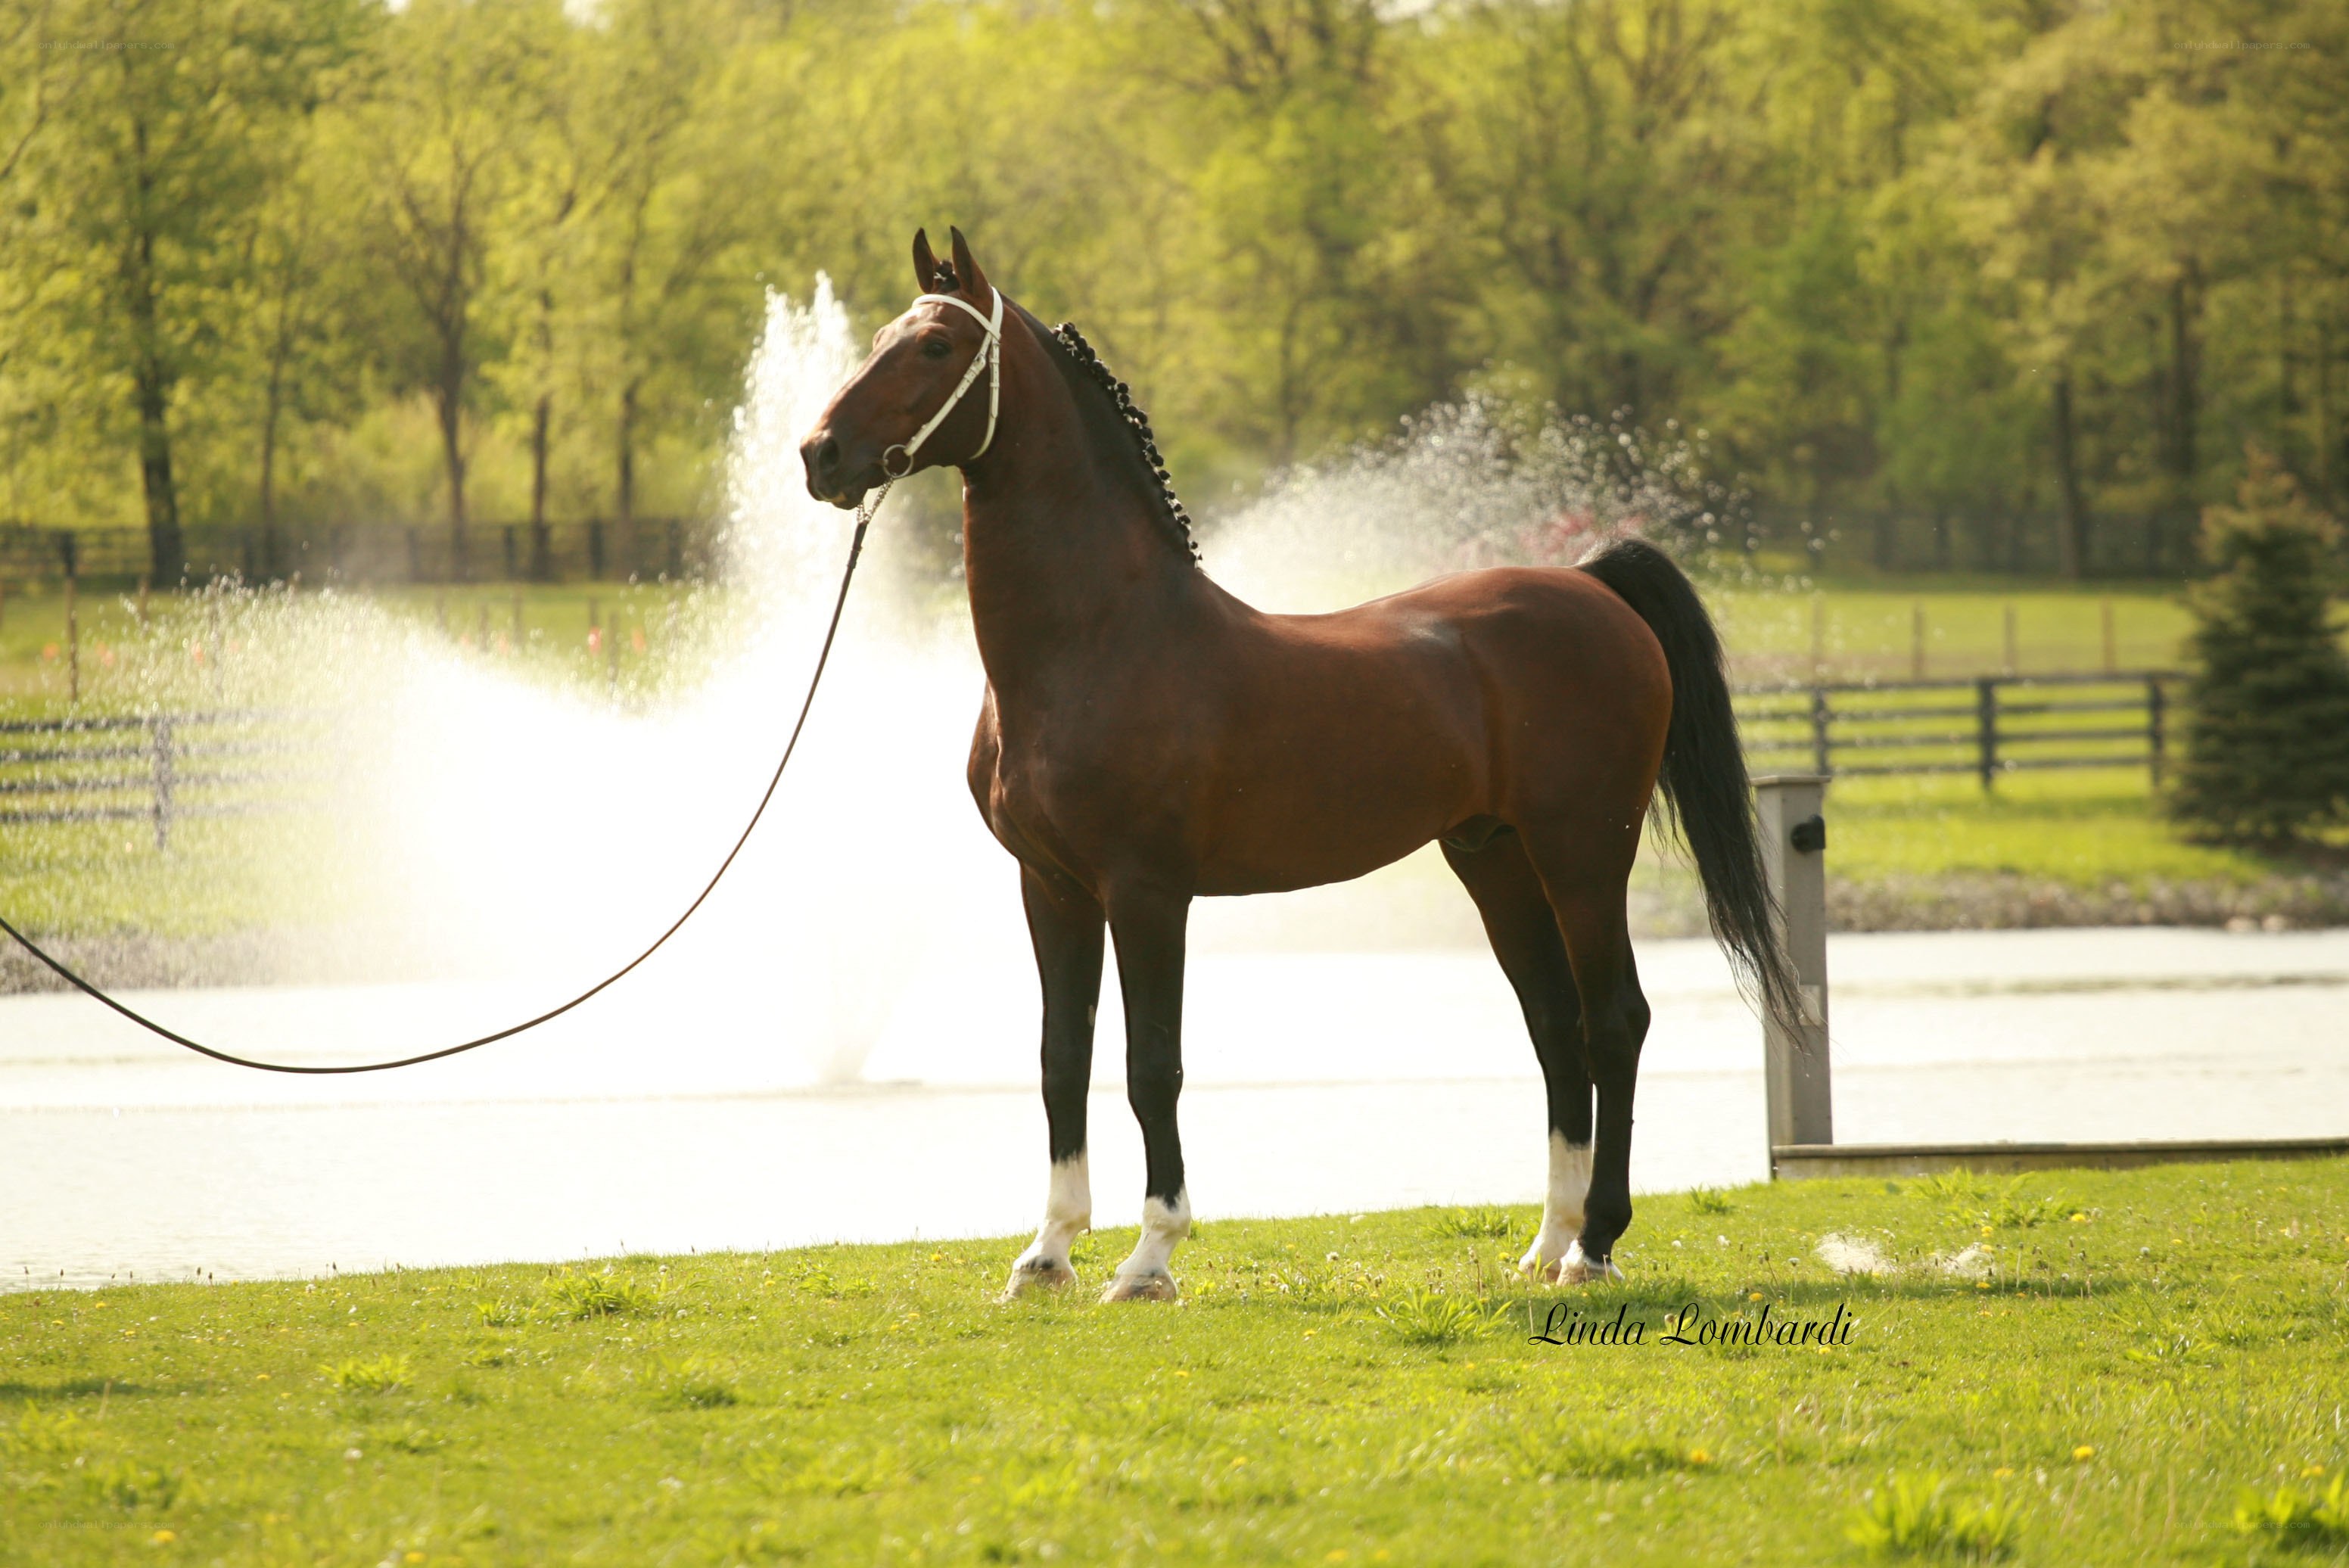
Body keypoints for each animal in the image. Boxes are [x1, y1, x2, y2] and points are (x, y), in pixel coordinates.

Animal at [801, 228, 1798, 1303]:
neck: (1101, 639)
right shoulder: (1050, 885)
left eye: (936, 346)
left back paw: (1594, 1244)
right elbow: (1060, 1059)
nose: (819, 454)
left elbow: (1152, 1064)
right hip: (1494, 859)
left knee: (1615, 1020)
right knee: (1555, 1029)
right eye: (881, 335)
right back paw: (1545, 1241)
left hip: (1583, 853)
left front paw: (1148, 1259)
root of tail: (1590, 585)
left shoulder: (1146, 890)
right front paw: (1047, 1253)